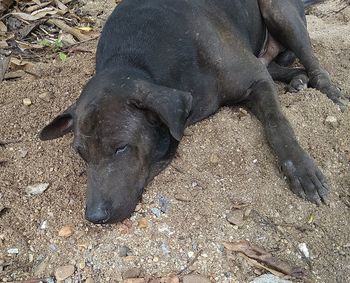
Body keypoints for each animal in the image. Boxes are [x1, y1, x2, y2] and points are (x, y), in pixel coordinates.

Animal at [39, 0, 348, 225]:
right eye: (81, 153)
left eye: (121, 148)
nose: (94, 216)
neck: (135, 62)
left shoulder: (256, 80)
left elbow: (277, 124)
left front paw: (302, 169)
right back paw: (296, 78)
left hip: (280, 13)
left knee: (311, 62)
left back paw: (327, 89)